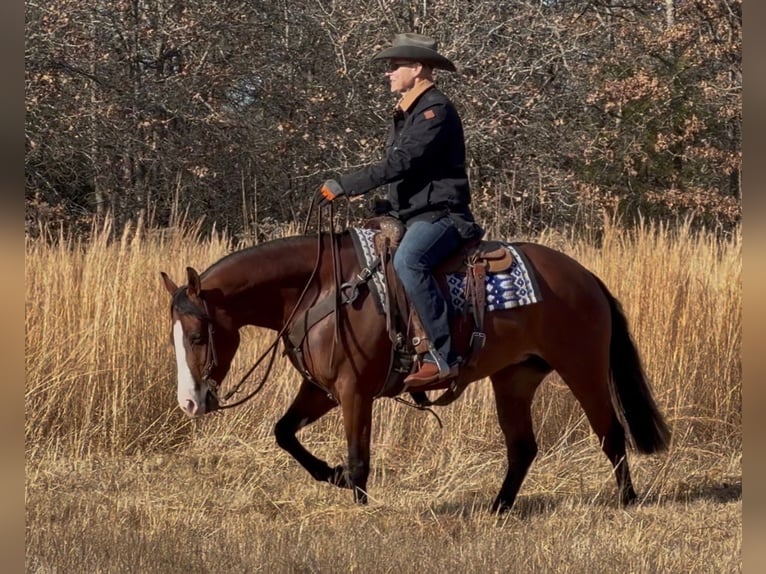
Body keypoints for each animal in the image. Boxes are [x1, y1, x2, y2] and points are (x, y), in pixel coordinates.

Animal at [160, 230, 670, 513]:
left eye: (199, 336)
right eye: (174, 336)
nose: (189, 402)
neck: (322, 290)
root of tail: (585, 277)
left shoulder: (354, 391)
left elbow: (360, 459)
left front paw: (359, 504)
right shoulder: (321, 389)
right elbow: (284, 433)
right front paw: (332, 475)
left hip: (583, 367)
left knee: (611, 433)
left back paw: (627, 501)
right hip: (515, 379)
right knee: (523, 447)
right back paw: (498, 509)